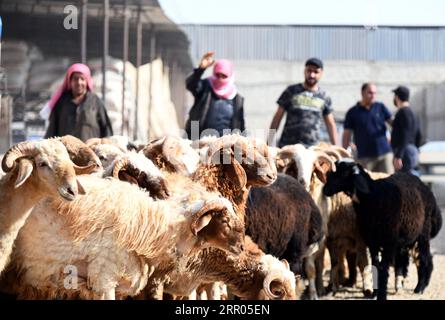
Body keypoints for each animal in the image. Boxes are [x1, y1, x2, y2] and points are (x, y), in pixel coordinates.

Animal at [322, 160, 440, 300]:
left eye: (344, 173)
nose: (325, 190)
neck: (373, 197)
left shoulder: (388, 242)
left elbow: (383, 269)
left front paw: (381, 295)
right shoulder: (372, 242)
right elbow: (375, 266)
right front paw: (374, 293)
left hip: (422, 232)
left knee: (424, 257)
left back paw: (420, 287)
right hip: (407, 236)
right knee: (415, 258)